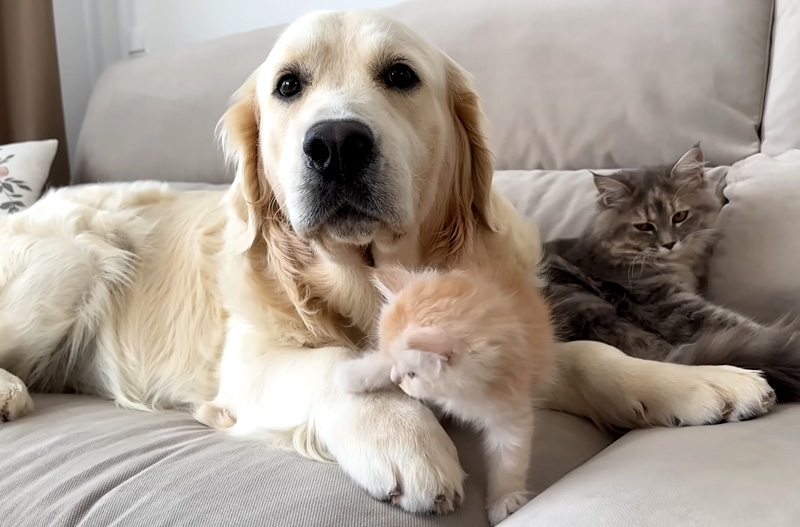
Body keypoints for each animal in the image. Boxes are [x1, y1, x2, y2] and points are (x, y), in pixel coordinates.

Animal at [334, 264, 552, 524]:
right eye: (394, 364)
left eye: (412, 374)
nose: (396, 380)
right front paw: (353, 374)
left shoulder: (512, 411)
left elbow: (509, 460)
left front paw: (505, 500)